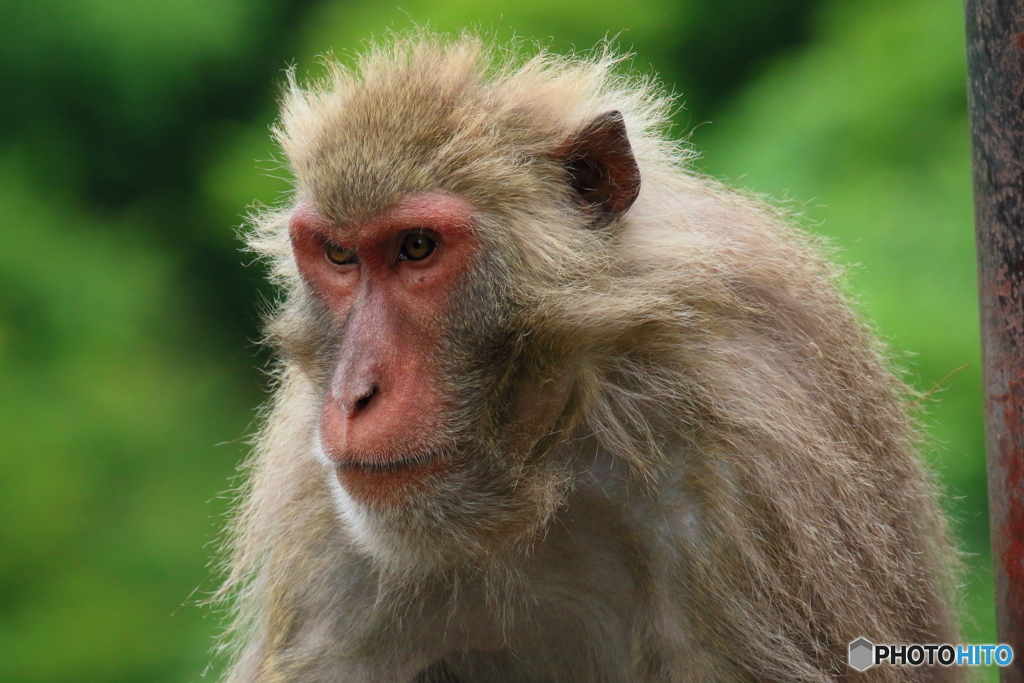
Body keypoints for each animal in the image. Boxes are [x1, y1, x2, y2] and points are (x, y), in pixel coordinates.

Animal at [214, 33, 958, 683]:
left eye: (417, 247)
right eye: (340, 255)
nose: (352, 394)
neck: (546, 457)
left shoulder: (749, 466)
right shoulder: (325, 515)